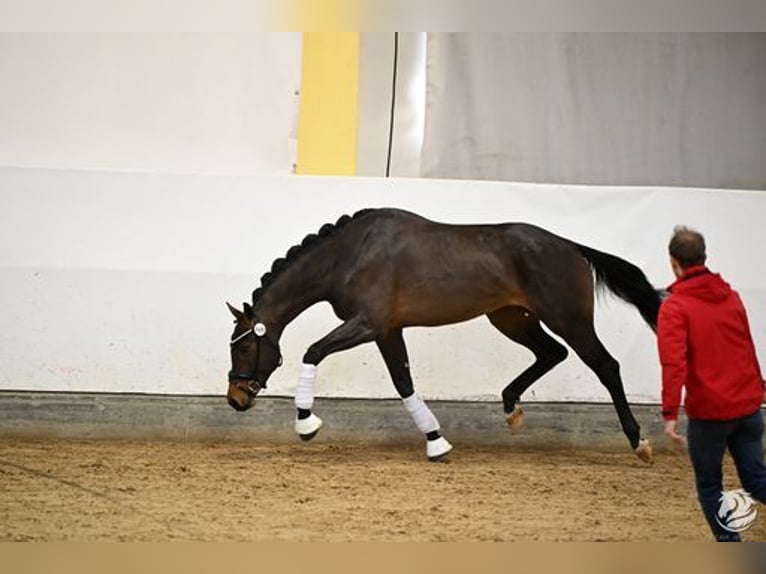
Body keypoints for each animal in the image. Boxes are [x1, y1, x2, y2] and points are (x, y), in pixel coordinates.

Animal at [225, 207, 664, 464]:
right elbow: (403, 384)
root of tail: (571, 247)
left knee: (606, 366)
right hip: (511, 319)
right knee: (551, 354)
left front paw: (306, 423)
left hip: (569, 320)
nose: (236, 399)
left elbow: (313, 352)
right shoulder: (387, 331)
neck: (349, 256)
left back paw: (639, 443)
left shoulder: (367, 324)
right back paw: (511, 409)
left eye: (245, 345)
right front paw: (436, 442)